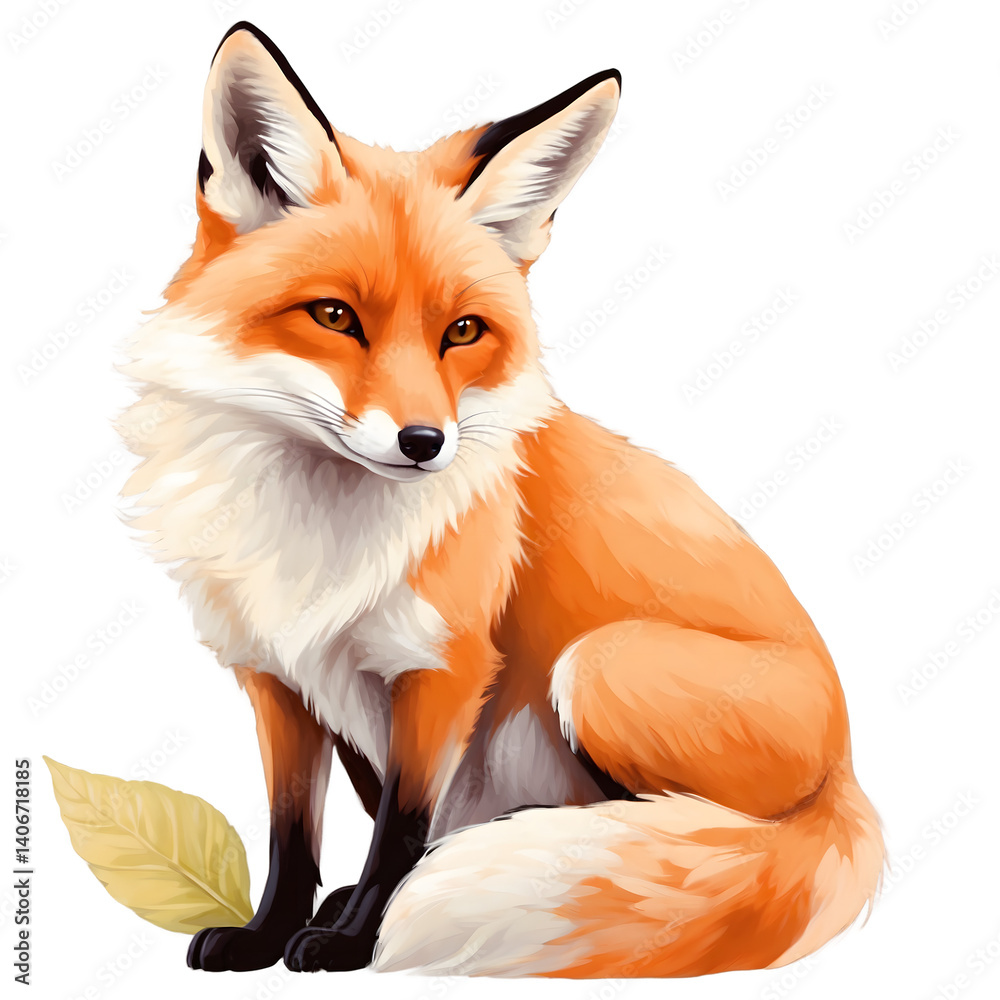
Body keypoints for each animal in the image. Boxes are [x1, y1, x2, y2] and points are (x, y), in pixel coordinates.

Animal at [118, 21, 885, 978]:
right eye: (334, 317)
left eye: (463, 332)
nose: (424, 443)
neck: (316, 538)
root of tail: (849, 774)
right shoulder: (277, 678)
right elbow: (291, 833)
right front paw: (267, 932)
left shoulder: (444, 670)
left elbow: (401, 834)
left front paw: (356, 939)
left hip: (597, 667)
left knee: (709, 828)